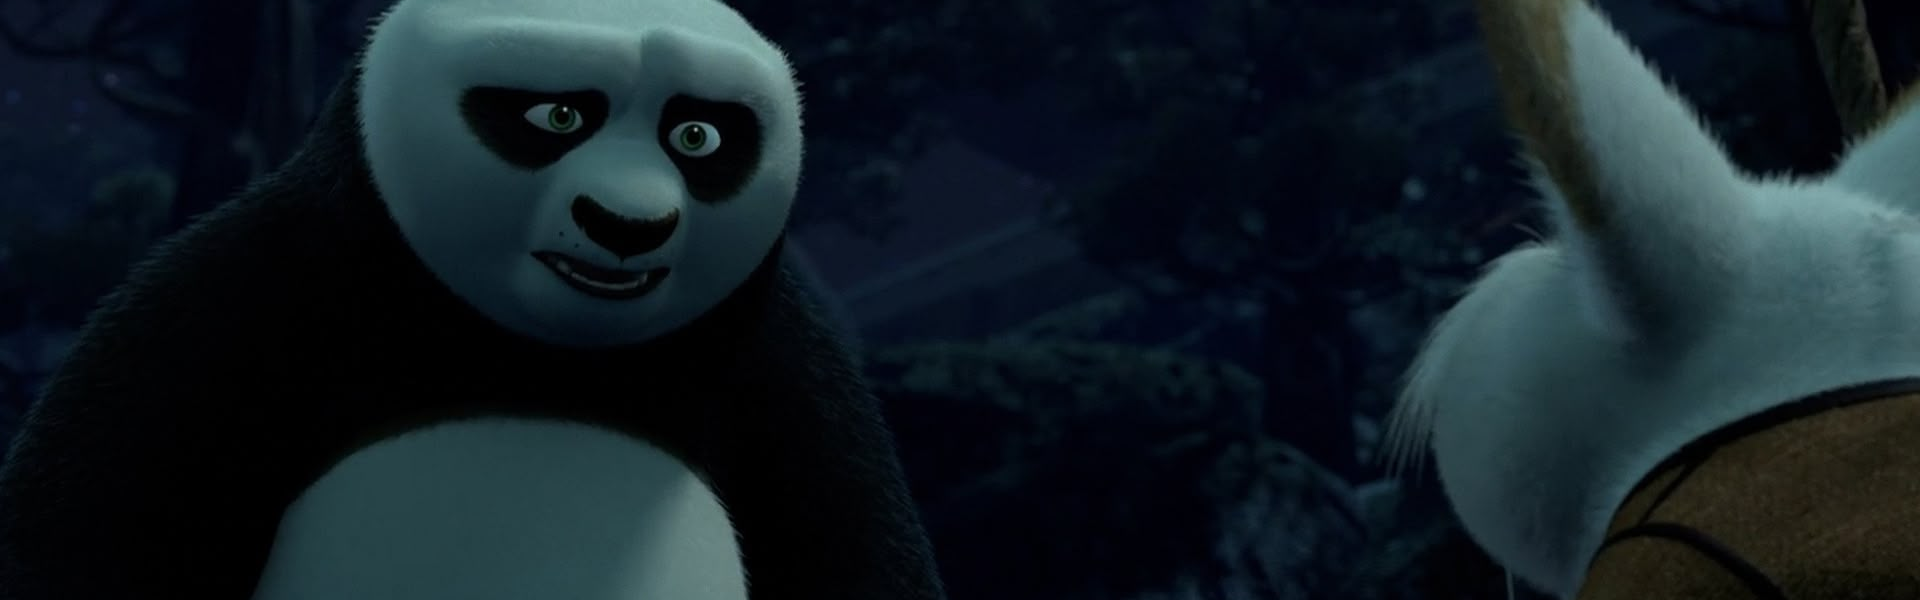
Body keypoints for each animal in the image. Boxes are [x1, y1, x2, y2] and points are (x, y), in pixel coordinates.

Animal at [0, 0, 947, 598]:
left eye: (697, 135)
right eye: (557, 117)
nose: (627, 225)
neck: (535, 361)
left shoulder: (782, 377)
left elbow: (857, 548)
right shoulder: (241, 307)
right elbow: (89, 525)